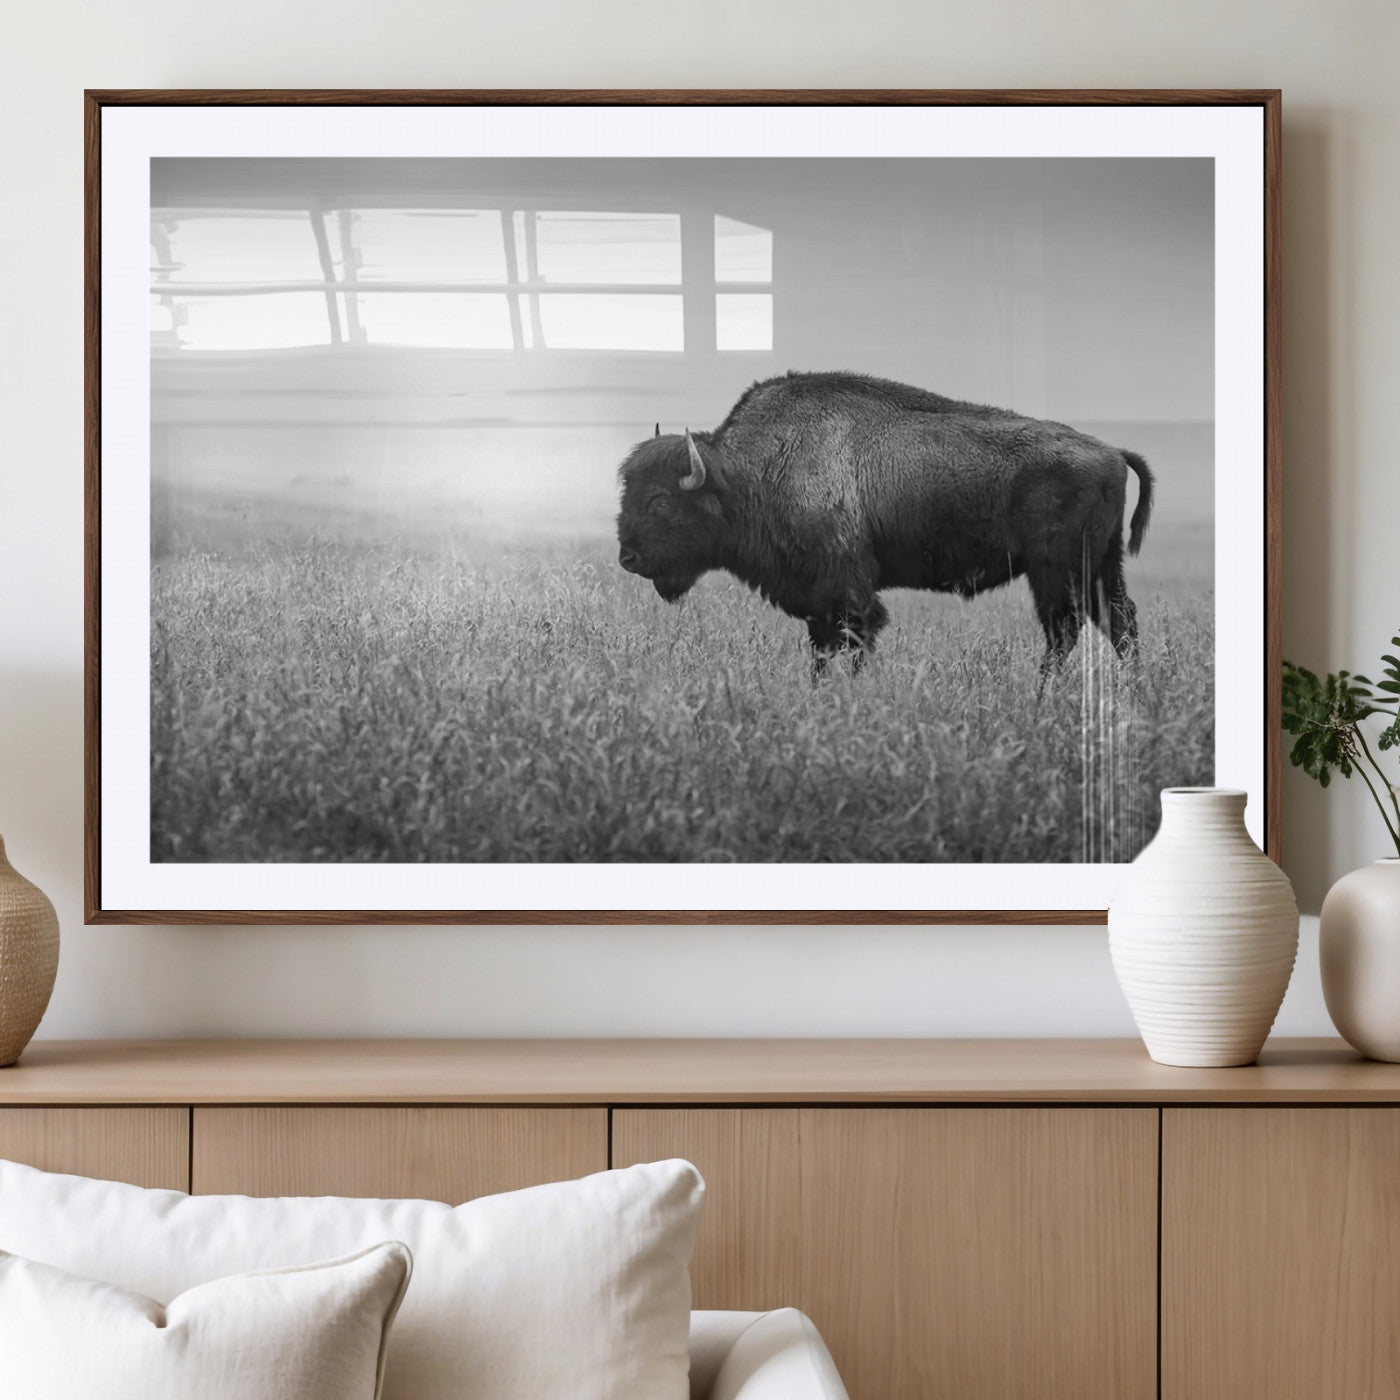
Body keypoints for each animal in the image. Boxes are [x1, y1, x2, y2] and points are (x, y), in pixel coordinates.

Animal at [615, 371, 1154, 675]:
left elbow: (853, 642)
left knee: (1065, 630)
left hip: (1056, 570)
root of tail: (1111, 451)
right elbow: (821, 652)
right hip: (1102, 565)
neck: (749, 473)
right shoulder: (819, 603)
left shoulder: (849, 593)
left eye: (661, 501)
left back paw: (1044, 696)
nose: (628, 558)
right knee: (1119, 622)